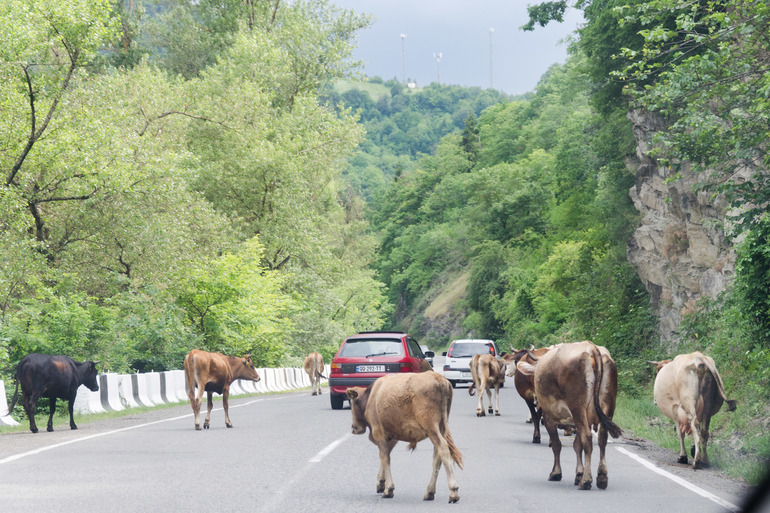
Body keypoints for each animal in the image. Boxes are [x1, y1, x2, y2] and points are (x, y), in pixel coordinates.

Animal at [346, 370, 462, 502]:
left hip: (431, 427)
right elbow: (385, 456)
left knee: (443, 448)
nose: (354, 428)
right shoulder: (392, 436)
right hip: (441, 427)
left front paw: (388, 489)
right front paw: (381, 483)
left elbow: (384, 458)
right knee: (437, 456)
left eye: (351, 402)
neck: (371, 396)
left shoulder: (378, 432)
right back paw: (430, 492)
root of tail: (439, 378)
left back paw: (453, 491)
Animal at [512, 340, 620, 488]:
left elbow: (557, 444)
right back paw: (602, 477)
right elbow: (577, 445)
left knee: (587, 437)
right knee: (602, 438)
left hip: (578, 409)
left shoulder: (549, 416)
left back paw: (586, 480)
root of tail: (591, 348)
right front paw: (578, 474)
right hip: (607, 407)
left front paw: (556, 473)